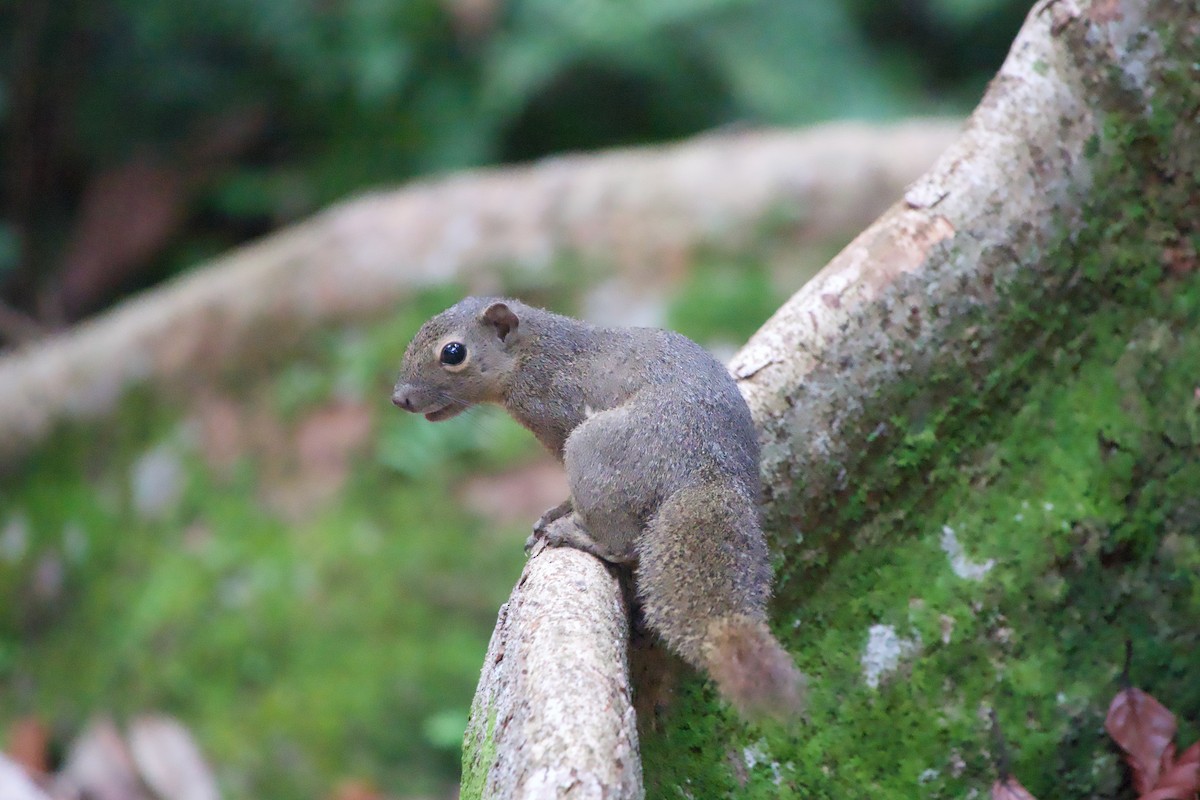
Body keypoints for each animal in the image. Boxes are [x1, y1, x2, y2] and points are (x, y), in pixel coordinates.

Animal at [392, 296, 803, 720]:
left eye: (453, 353)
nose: (400, 398)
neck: (534, 354)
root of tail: (705, 472)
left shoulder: (559, 415)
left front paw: (556, 513)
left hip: (593, 450)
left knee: (621, 545)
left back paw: (574, 534)